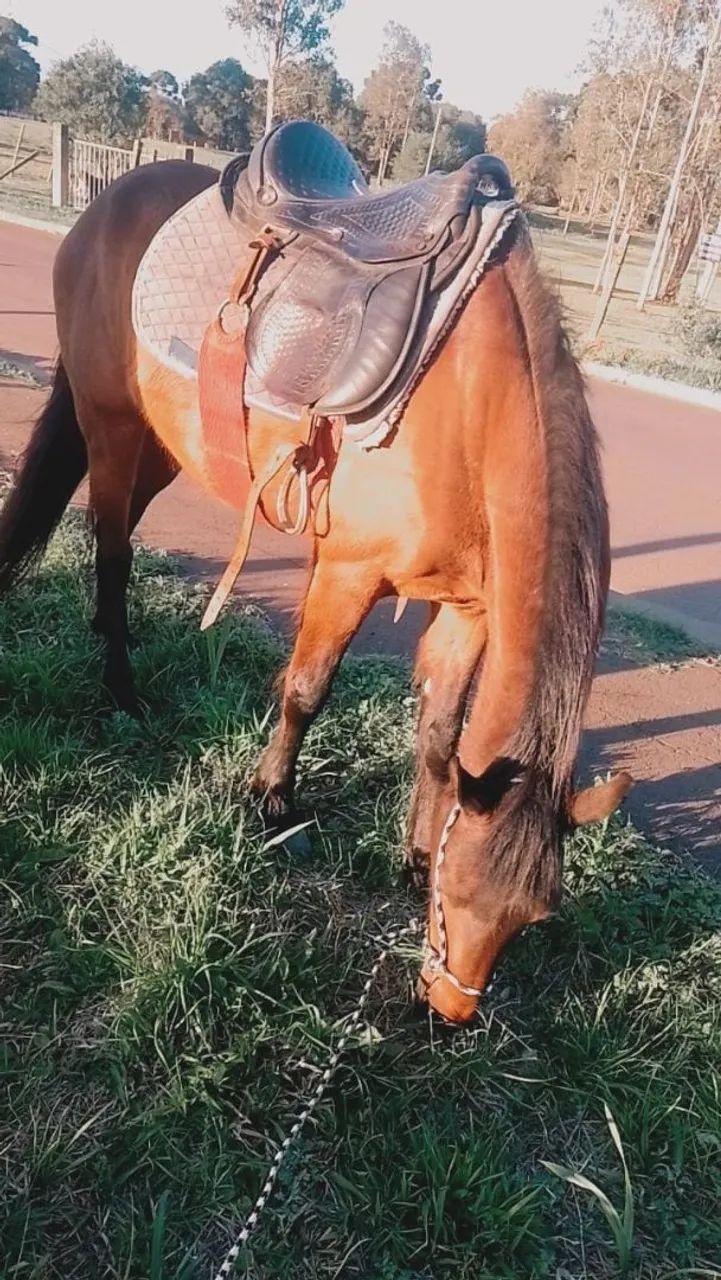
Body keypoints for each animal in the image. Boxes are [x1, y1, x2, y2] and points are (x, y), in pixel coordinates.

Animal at [0, 156, 631, 1022]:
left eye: (533, 915)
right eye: (458, 895)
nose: (448, 1012)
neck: (472, 407)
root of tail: (110, 201)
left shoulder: (466, 609)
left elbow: (439, 735)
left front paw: (411, 844)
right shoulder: (347, 572)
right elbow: (306, 688)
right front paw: (271, 797)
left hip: (165, 444)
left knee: (113, 536)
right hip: (111, 424)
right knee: (113, 546)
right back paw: (121, 688)